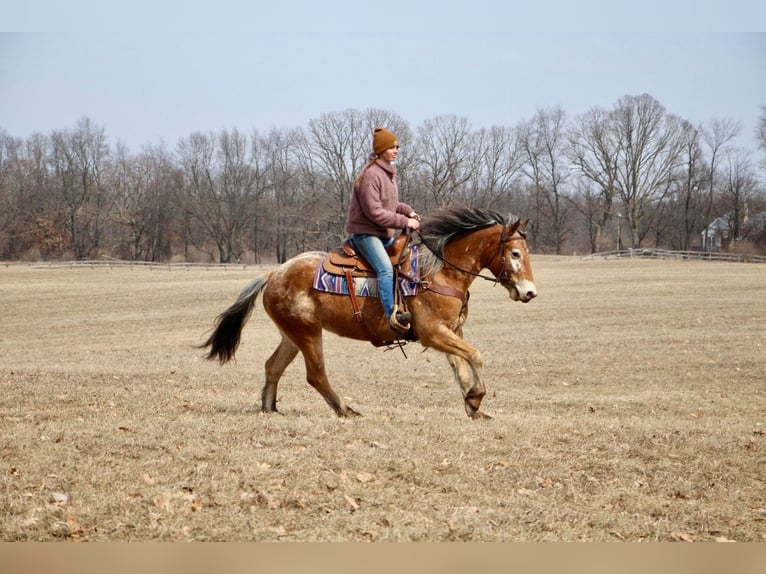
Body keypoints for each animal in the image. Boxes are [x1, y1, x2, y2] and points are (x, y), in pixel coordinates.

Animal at [204, 205, 540, 420]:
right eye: (514, 253)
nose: (529, 292)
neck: (439, 270)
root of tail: (274, 273)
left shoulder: (451, 330)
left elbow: (461, 367)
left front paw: (473, 405)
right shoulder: (433, 333)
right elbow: (475, 356)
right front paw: (476, 397)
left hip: (292, 334)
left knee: (273, 366)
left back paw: (269, 409)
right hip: (308, 333)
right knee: (316, 375)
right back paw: (345, 409)